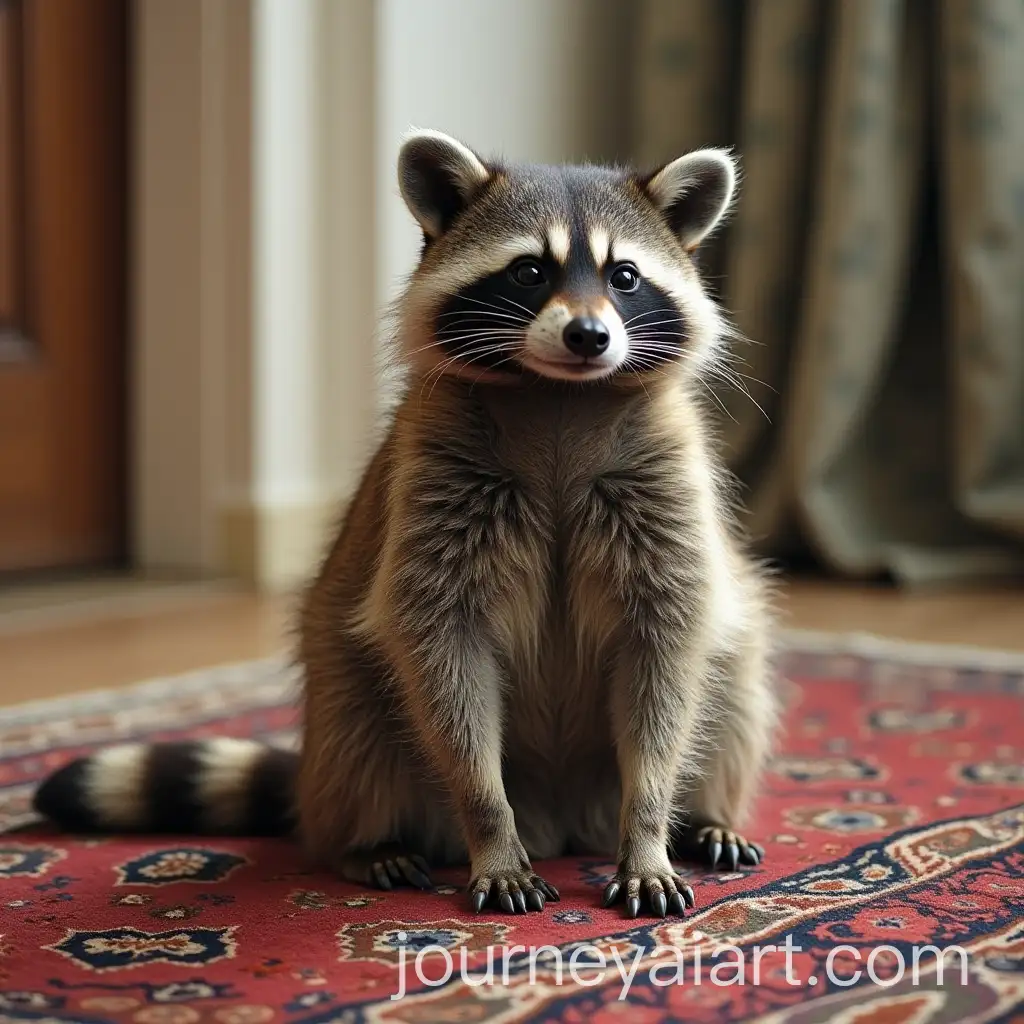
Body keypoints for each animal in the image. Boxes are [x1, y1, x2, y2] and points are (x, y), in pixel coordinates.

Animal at [33, 130, 778, 919]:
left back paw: (705, 816)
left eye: (626, 277)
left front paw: (649, 828)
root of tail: (562, 821)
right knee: (360, 730)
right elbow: (440, 650)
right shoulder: (433, 479)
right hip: (343, 697)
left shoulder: (664, 491)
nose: (588, 335)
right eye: (529, 271)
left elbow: (666, 654)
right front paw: (491, 828)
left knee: (733, 687)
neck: (557, 397)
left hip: (708, 666)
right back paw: (368, 842)